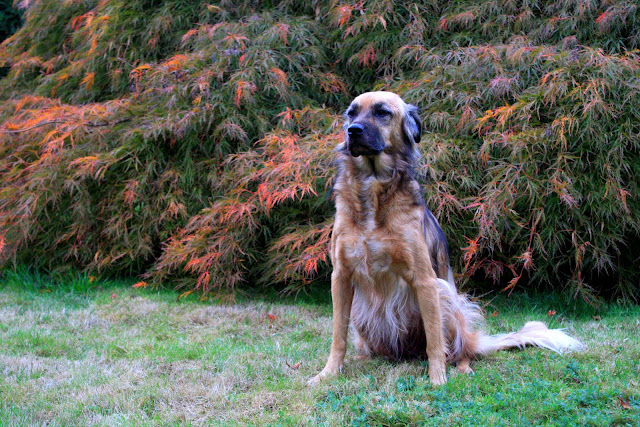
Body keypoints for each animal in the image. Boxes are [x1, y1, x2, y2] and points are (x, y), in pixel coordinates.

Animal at [310, 91, 582, 385]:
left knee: (459, 351)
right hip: (364, 315)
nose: (353, 131)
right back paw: (363, 359)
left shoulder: (425, 280)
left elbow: (435, 341)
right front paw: (327, 373)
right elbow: (338, 336)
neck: (373, 193)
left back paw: (462, 367)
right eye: (351, 113)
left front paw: (437, 379)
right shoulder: (341, 276)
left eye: (382, 112)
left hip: (446, 296)